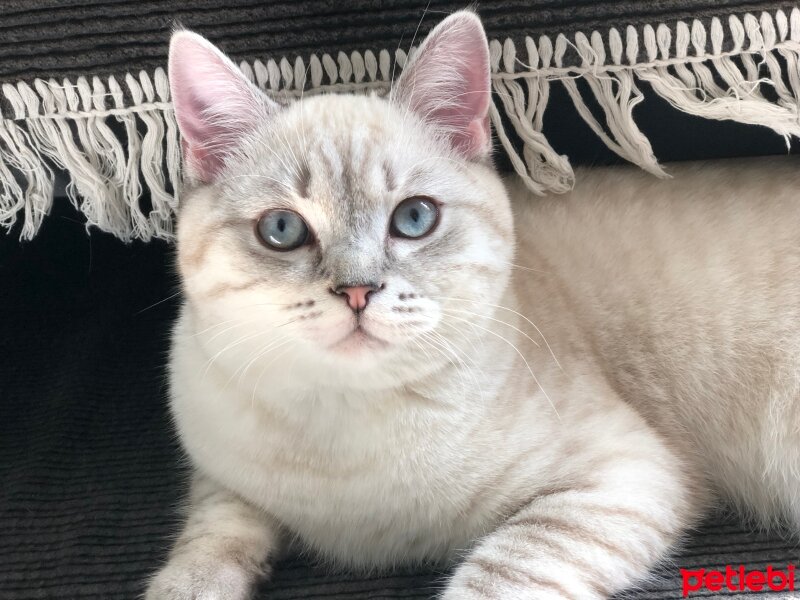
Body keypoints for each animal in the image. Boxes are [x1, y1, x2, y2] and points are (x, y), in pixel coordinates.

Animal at [147, 9, 800, 600]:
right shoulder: (219, 469)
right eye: (281, 229)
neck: (344, 430)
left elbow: (496, 574)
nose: (357, 291)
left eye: (414, 218)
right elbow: (212, 535)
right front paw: (190, 584)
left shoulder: (622, 479)